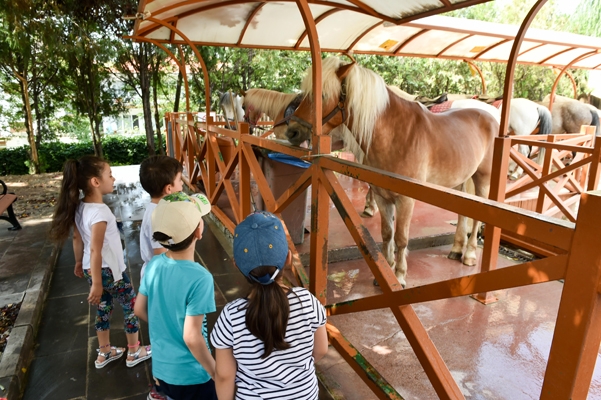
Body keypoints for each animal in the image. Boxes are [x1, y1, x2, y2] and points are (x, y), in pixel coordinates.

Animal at [284, 57, 496, 288]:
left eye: (322, 96)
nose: (291, 131)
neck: (396, 135)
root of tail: (490, 116)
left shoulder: (405, 200)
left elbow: (401, 239)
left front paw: (400, 276)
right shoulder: (382, 196)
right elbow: (387, 234)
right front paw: (386, 272)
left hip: (482, 179)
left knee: (477, 219)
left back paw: (470, 255)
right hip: (460, 181)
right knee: (462, 214)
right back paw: (456, 249)